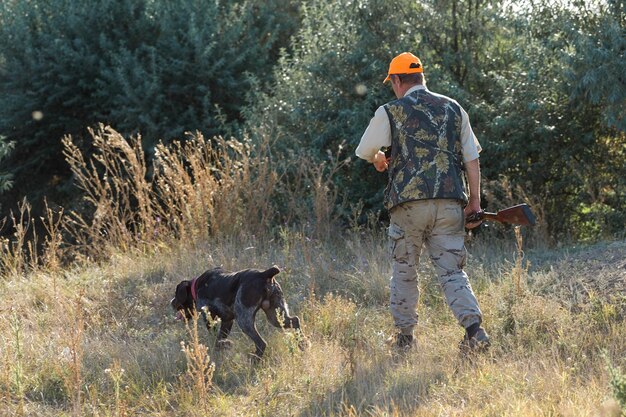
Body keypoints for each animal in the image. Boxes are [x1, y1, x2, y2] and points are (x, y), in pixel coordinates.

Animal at [171, 266, 302, 358]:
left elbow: (215, 339)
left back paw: (254, 359)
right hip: (275, 316)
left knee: (261, 343)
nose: (171, 302)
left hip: (244, 320)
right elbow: (219, 339)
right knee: (295, 320)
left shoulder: (209, 317)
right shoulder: (227, 320)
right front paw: (223, 345)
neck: (197, 286)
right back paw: (302, 344)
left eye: (176, 295)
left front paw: (226, 344)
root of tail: (264, 274)